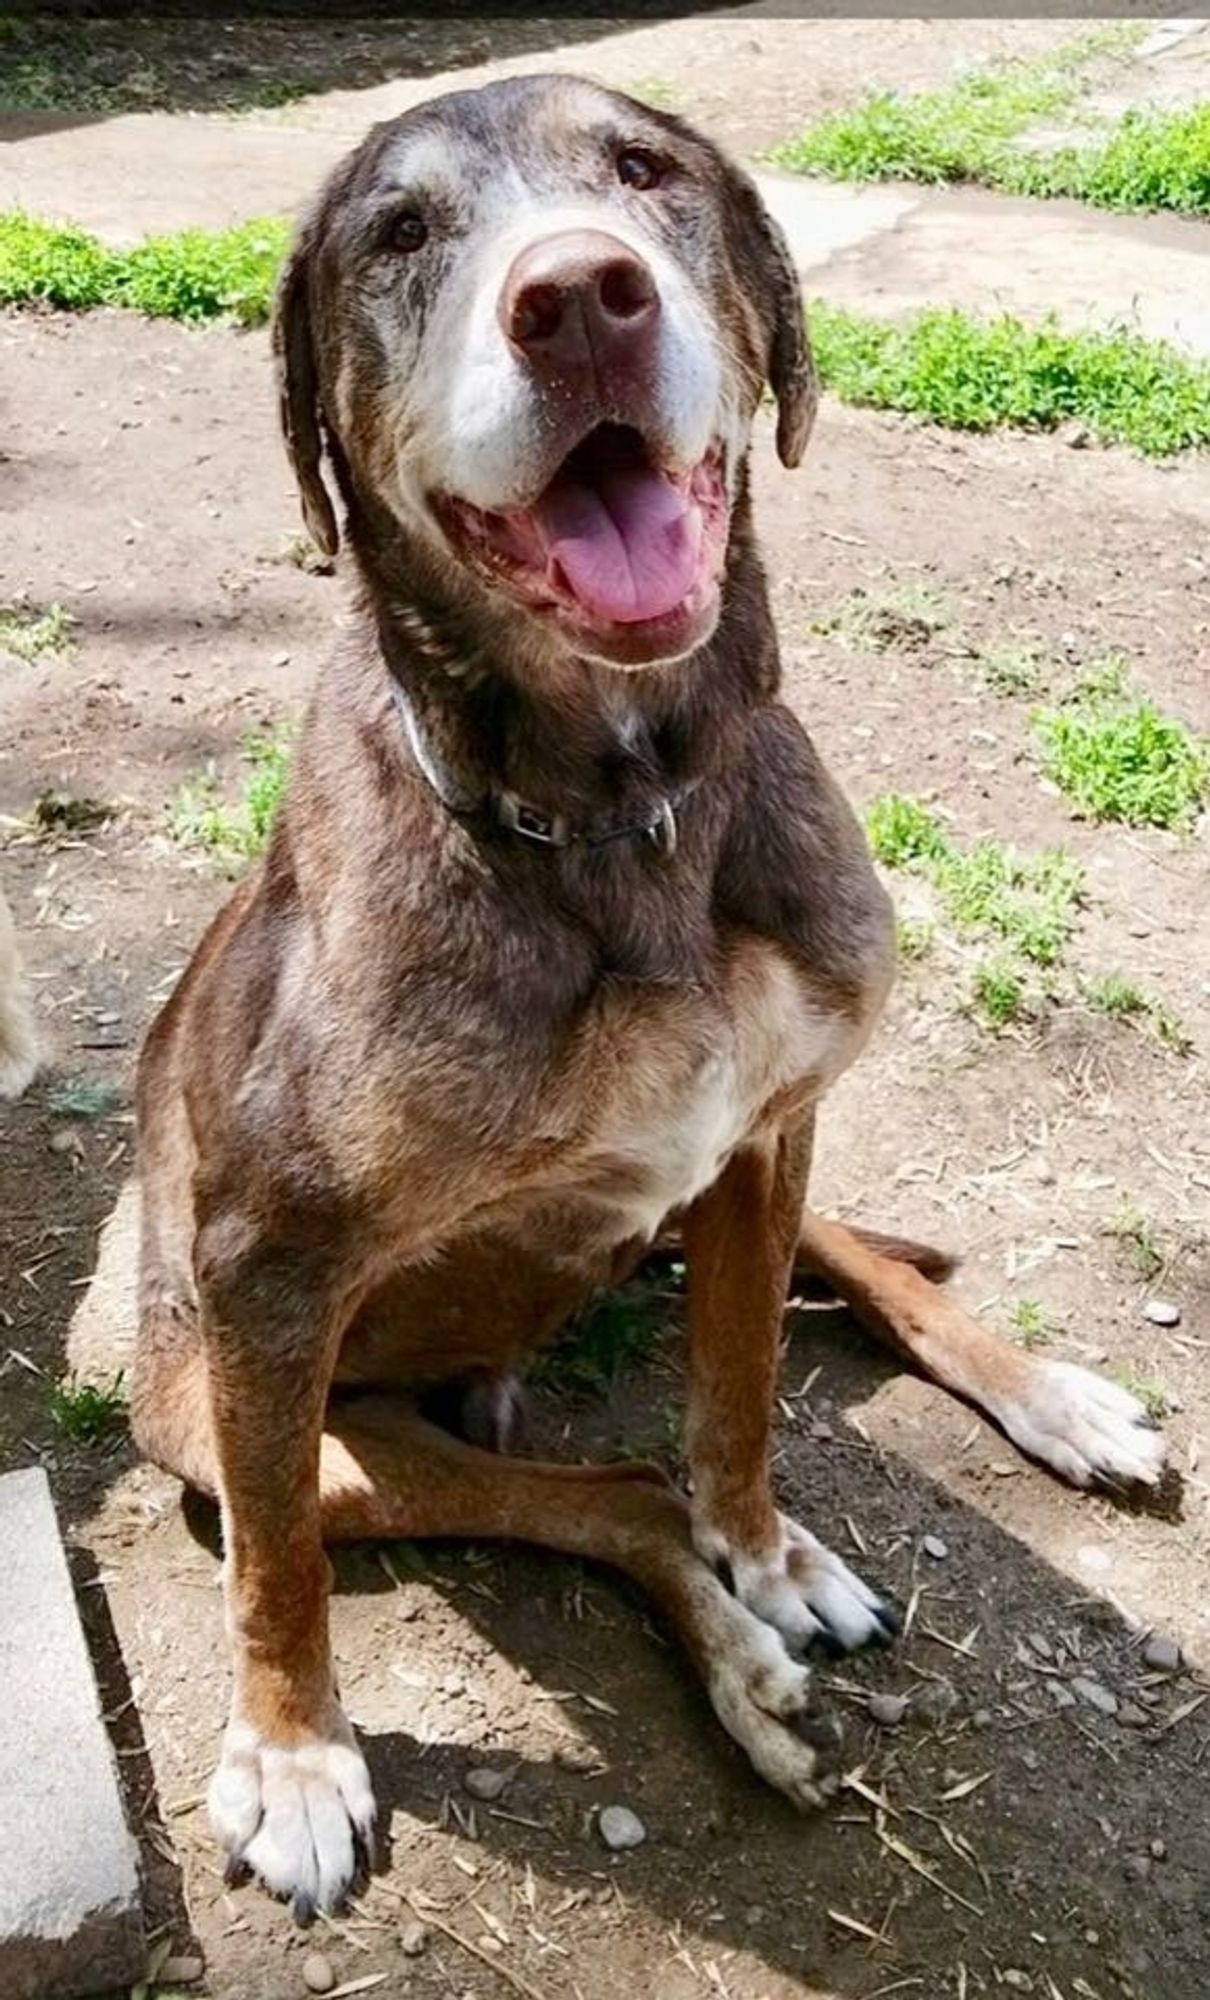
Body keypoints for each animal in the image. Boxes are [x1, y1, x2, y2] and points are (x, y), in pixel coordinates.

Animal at [130, 78, 1160, 1920]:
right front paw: (295, 1755)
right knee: (588, 1485)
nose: (579, 298)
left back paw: (1042, 1402)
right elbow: (279, 1573)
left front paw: (770, 1548)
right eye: (401, 232)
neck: (621, 810)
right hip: (246, 1414)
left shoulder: (757, 1138)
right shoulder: (268, 1276)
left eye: (643, 171)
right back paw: (732, 1668)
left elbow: (739, 1390)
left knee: (855, 1279)